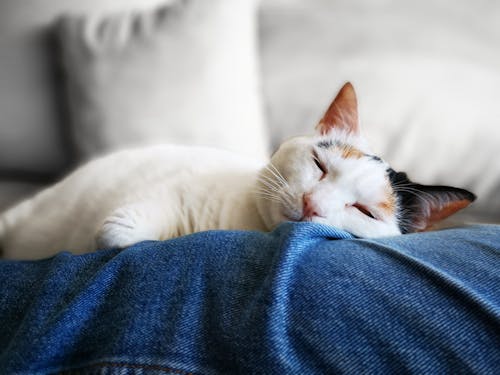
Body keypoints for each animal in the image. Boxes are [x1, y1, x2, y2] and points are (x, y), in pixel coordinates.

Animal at [0, 82, 476, 260]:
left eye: (364, 211)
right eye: (320, 166)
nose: (311, 204)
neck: (243, 222)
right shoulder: (159, 196)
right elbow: (116, 234)